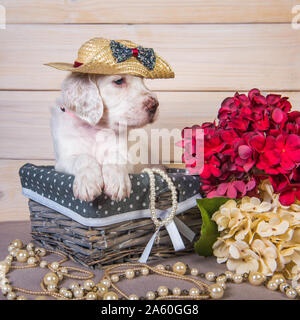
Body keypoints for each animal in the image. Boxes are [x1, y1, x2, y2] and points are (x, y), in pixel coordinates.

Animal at [51, 73, 159, 202]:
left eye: (142, 80)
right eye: (119, 81)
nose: (155, 105)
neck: (95, 129)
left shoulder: (125, 155)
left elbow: (115, 157)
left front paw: (117, 182)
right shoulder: (62, 161)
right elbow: (82, 158)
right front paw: (88, 182)